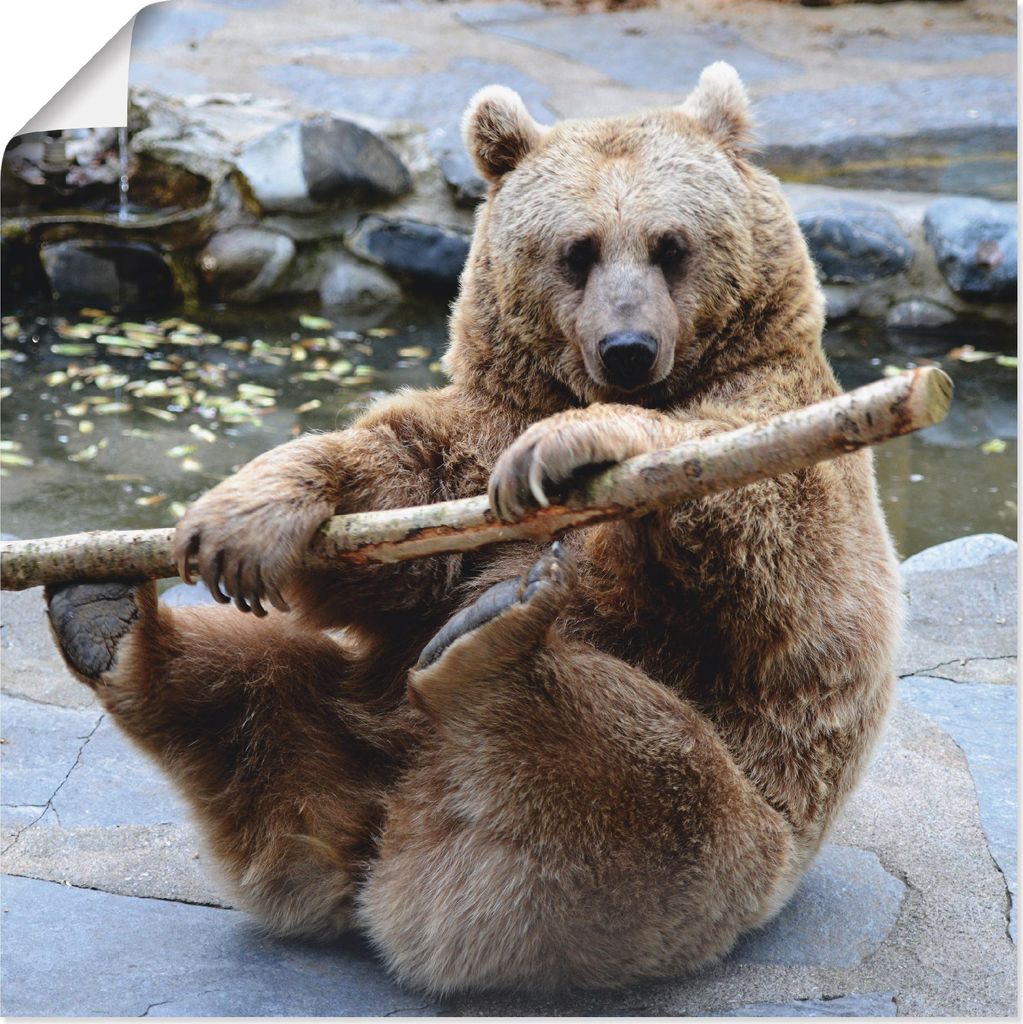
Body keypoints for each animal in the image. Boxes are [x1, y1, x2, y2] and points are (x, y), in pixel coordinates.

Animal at [44, 62, 902, 995]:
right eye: (577, 250)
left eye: (670, 245)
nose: (627, 347)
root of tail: (386, 846)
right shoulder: (486, 420)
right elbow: (396, 509)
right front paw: (249, 513)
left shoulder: (783, 420)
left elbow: (764, 548)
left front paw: (581, 444)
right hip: (339, 735)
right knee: (254, 694)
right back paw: (107, 622)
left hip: (719, 845)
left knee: (631, 777)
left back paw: (491, 645)